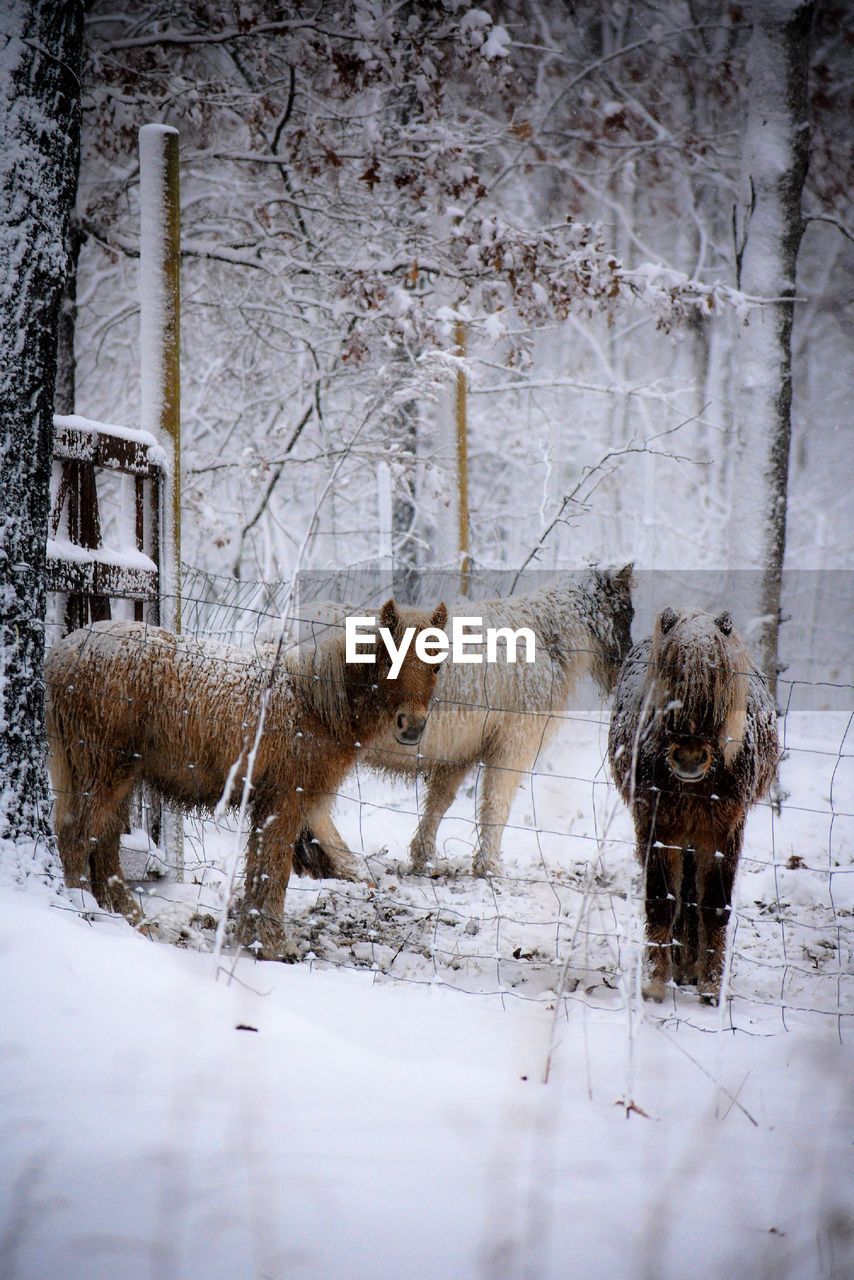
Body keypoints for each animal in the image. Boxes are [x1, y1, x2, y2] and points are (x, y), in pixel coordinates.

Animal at [45, 601, 448, 962]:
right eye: (389, 658)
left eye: (437, 665)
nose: (412, 726)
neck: (311, 701)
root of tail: (66, 652)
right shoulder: (285, 804)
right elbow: (274, 871)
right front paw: (275, 946)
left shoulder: (267, 805)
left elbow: (258, 870)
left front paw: (251, 940)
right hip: (104, 774)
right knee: (77, 839)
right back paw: (86, 911)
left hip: (117, 778)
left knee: (104, 845)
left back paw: (127, 919)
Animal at [606, 606, 783, 998]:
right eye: (669, 674)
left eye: (719, 679)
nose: (689, 758)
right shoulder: (658, 828)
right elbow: (660, 902)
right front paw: (656, 981)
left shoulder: (723, 834)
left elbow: (714, 906)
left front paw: (712, 985)